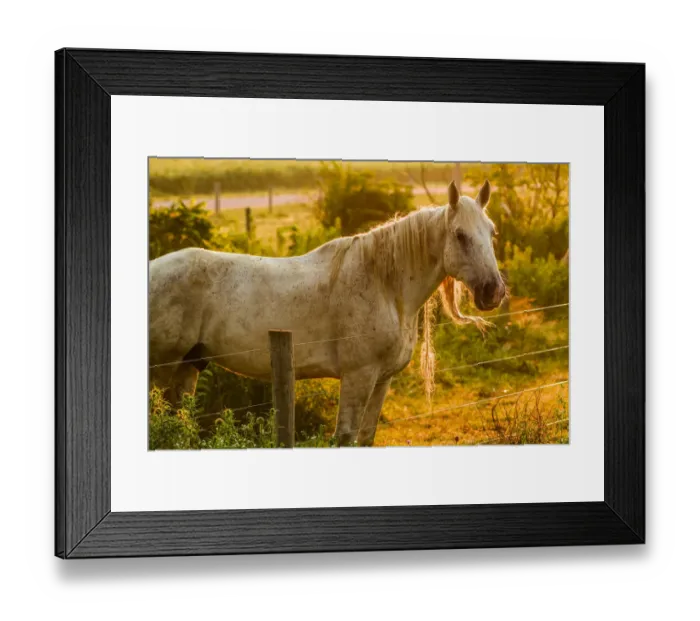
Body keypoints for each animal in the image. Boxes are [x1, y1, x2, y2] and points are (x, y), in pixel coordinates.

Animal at [149, 180, 506, 446]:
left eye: (492, 232)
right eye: (460, 235)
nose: (494, 291)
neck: (385, 286)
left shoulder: (382, 380)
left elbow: (366, 438)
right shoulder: (358, 376)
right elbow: (345, 437)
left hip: (189, 365)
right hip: (162, 367)